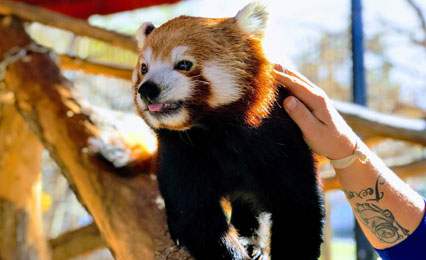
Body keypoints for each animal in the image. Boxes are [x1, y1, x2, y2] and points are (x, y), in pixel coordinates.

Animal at [133, 2, 322, 260]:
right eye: (144, 68)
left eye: (184, 64)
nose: (147, 90)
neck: (217, 131)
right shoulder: (181, 151)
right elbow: (196, 214)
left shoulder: (277, 139)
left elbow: (297, 209)